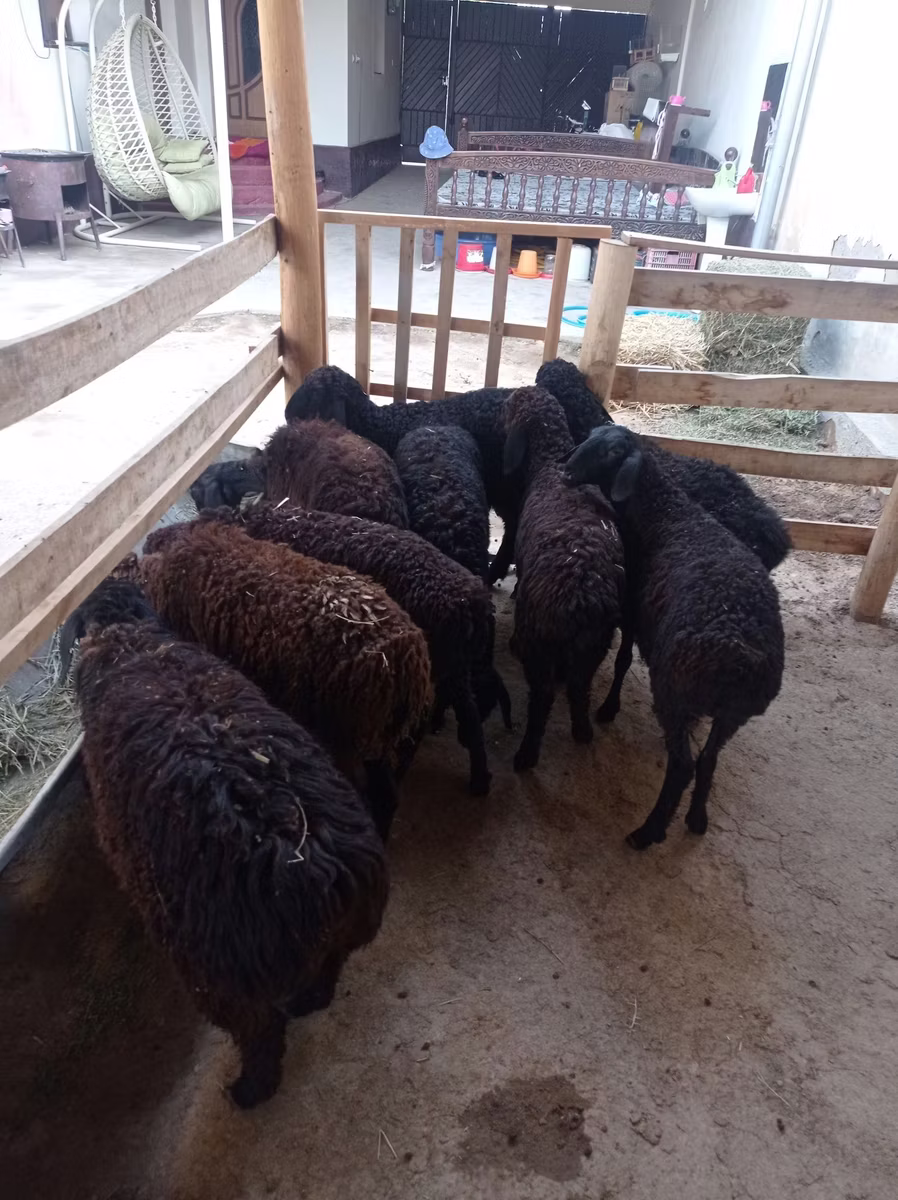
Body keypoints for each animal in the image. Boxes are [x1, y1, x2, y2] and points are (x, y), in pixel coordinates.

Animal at [71, 576, 388, 1108]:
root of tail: (313, 865)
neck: (130, 640)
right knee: (328, 973)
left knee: (261, 1034)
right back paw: (309, 1002)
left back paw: (249, 1090)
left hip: (220, 977)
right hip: (336, 941)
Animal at [502, 387, 625, 771]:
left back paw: (526, 755)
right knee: (578, 688)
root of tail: (581, 595)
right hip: (595, 645)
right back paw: (582, 731)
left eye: (511, 406)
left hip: (540, 639)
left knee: (542, 696)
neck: (549, 461)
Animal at [564, 425, 784, 850]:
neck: (665, 514)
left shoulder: (633, 612)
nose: (566, 470)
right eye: (590, 436)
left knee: (682, 765)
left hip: (675, 690)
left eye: (612, 451)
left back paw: (648, 831)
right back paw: (697, 818)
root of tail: (740, 658)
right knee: (709, 758)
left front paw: (608, 708)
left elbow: (622, 661)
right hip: (732, 715)